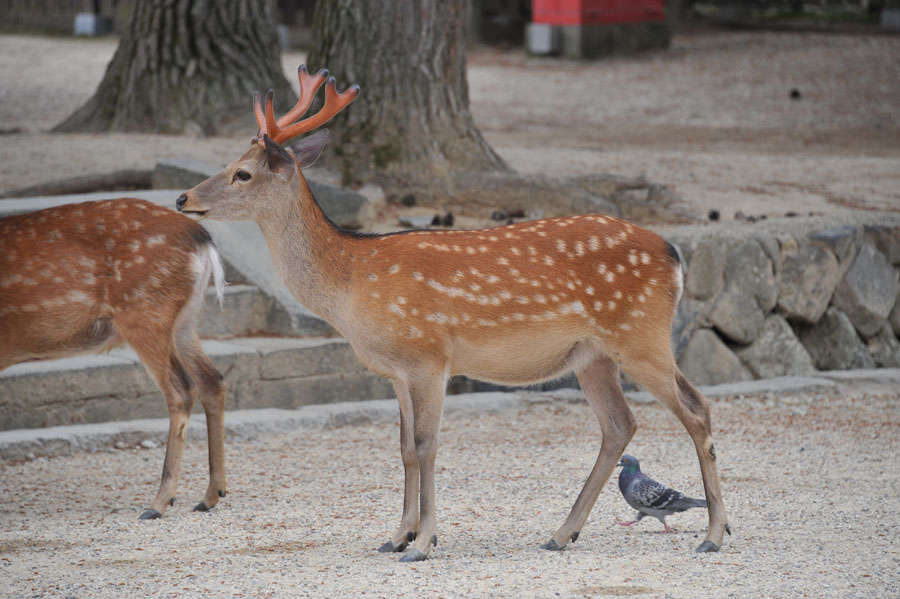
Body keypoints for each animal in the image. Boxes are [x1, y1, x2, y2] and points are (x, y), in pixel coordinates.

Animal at [0, 200, 225, 520]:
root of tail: (202, 239)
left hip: (145, 310)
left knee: (181, 388)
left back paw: (158, 503)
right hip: (183, 321)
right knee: (212, 379)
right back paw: (210, 495)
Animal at [176, 65, 732, 564]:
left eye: (242, 173)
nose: (183, 197)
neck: (351, 283)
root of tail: (674, 254)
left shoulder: (428, 355)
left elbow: (427, 444)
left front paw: (423, 543)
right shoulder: (396, 370)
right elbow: (403, 446)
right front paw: (395, 537)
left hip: (640, 335)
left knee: (696, 408)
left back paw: (713, 535)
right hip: (592, 355)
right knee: (620, 424)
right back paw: (560, 534)